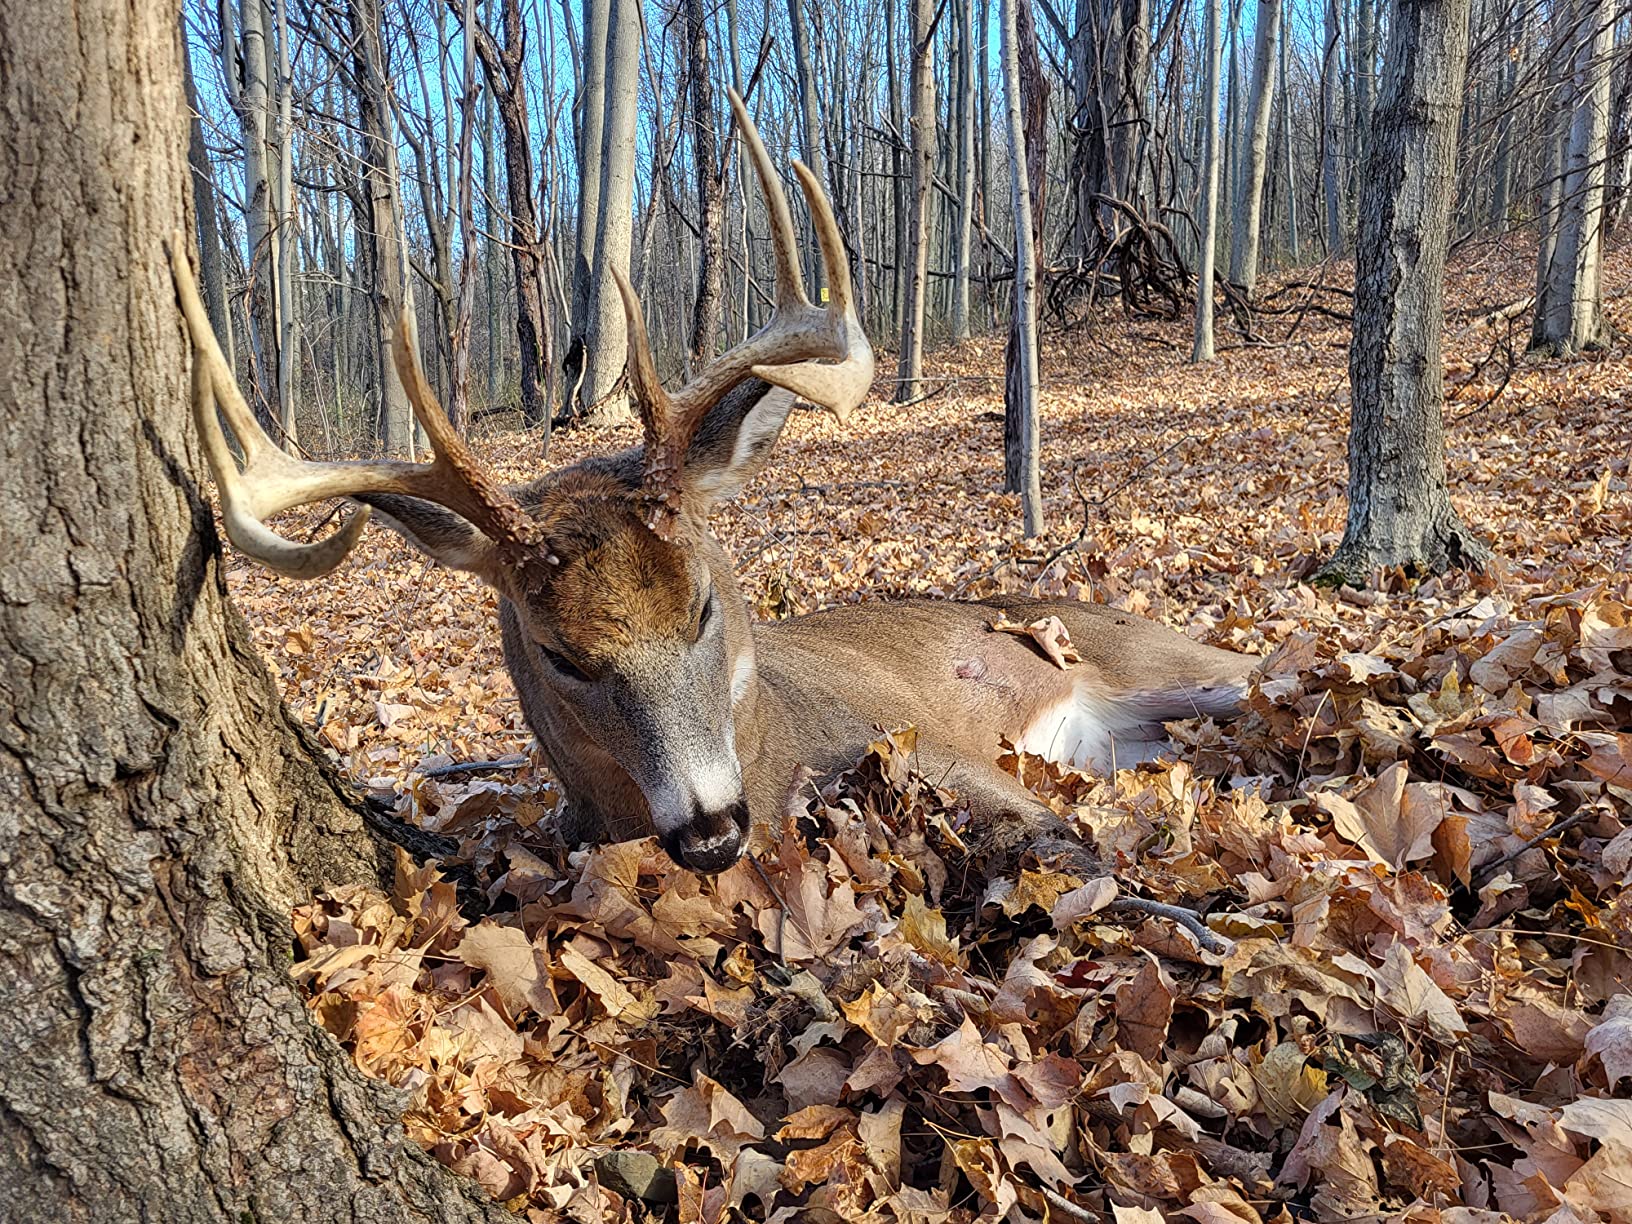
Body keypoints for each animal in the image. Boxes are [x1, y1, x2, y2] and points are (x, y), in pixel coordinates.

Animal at [169, 93, 1253, 936]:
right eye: (560, 655)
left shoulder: (909, 741)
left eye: (700, 608)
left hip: (1178, 663)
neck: (769, 760)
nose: (710, 830)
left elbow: (1062, 840)